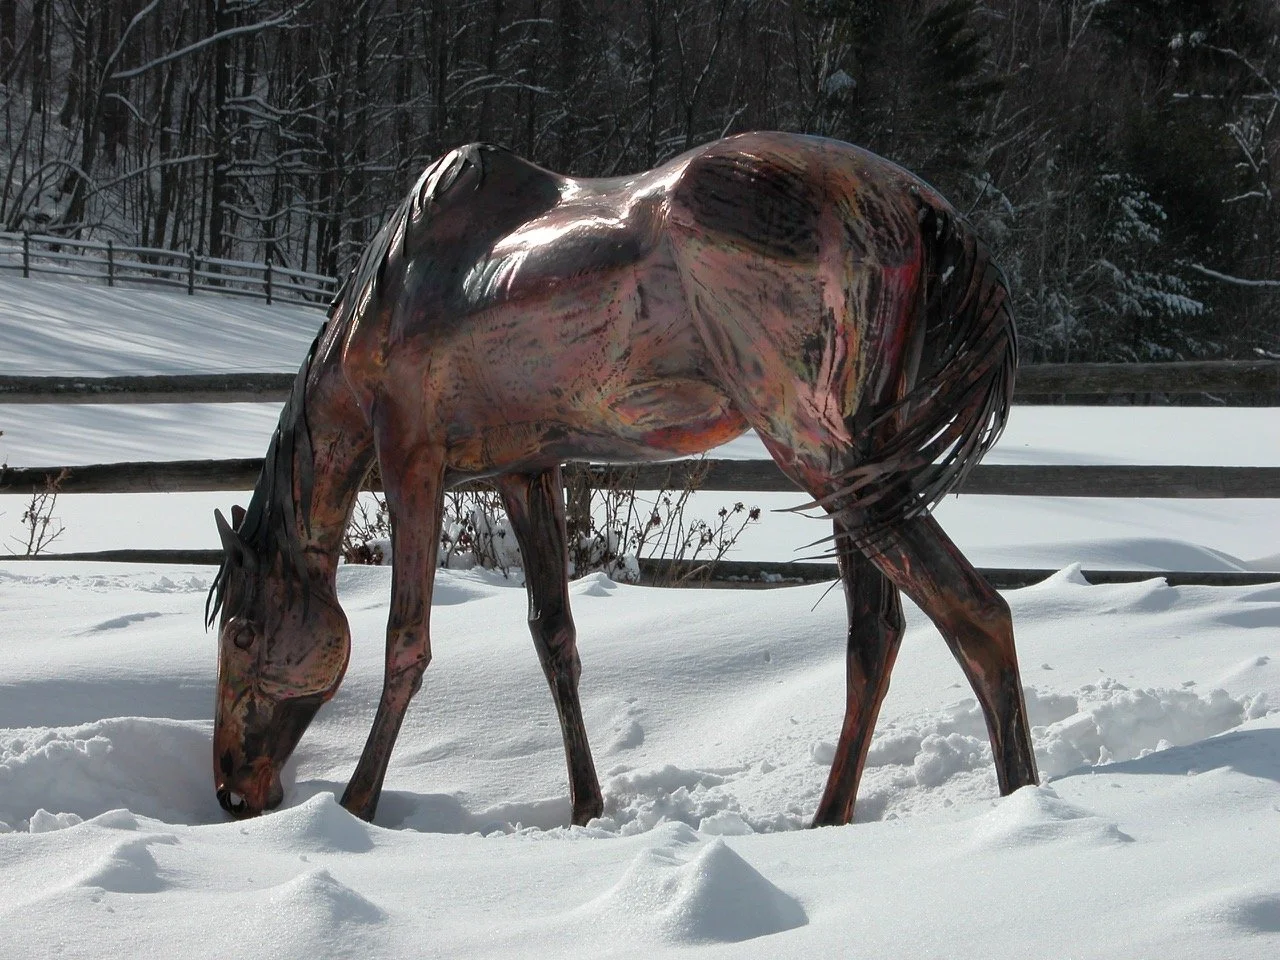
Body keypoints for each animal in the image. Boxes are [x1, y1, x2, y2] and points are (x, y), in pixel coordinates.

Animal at [207, 131, 1039, 828]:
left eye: (244, 631)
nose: (232, 791)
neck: (392, 292)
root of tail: (917, 207)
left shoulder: (413, 459)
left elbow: (405, 643)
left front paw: (355, 807)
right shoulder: (527, 470)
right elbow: (555, 640)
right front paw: (586, 808)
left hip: (825, 460)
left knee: (976, 614)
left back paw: (1021, 816)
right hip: (857, 474)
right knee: (877, 635)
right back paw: (831, 821)